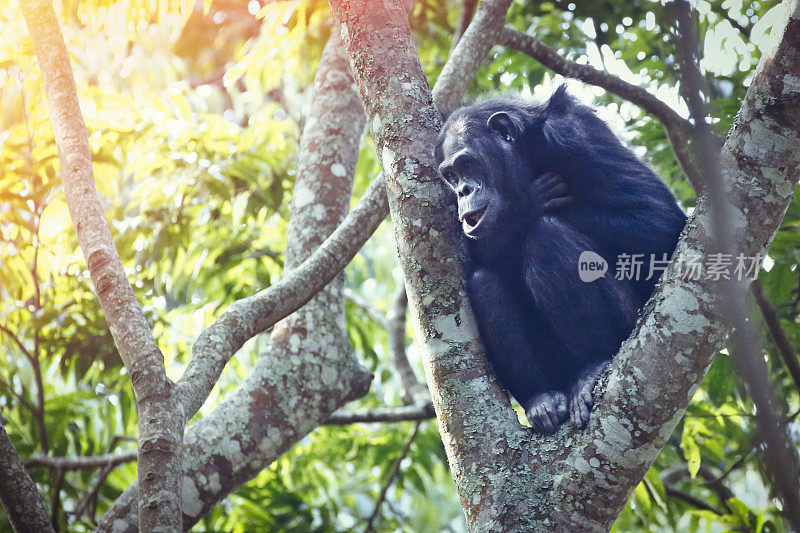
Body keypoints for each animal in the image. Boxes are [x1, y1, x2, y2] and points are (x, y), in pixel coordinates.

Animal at [434, 84, 684, 432]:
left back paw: (592, 368)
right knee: (484, 282)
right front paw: (522, 208)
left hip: (629, 325)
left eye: (468, 164)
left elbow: (659, 220)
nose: (463, 191)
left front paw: (519, 208)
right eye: (451, 175)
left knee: (547, 236)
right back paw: (542, 399)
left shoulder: (577, 137)